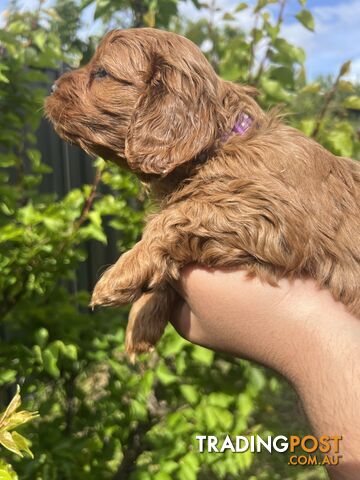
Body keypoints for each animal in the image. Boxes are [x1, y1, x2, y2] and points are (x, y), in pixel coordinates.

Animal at [45, 27, 360, 356]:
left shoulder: (269, 214)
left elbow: (177, 215)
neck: (219, 146)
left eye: (102, 72)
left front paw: (123, 274)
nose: (51, 87)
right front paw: (142, 319)